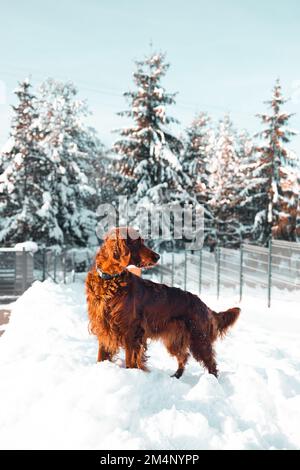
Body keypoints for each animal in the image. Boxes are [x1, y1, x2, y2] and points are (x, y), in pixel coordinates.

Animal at [85, 227, 240, 378]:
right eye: (137, 242)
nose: (157, 256)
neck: (109, 280)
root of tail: (204, 306)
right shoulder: (104, 327)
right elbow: (101, 356)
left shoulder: (131, 331)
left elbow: (130, 361)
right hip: (175, 339)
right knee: (183, 356)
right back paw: (176, 375)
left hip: (199, 338)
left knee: (211, 364)